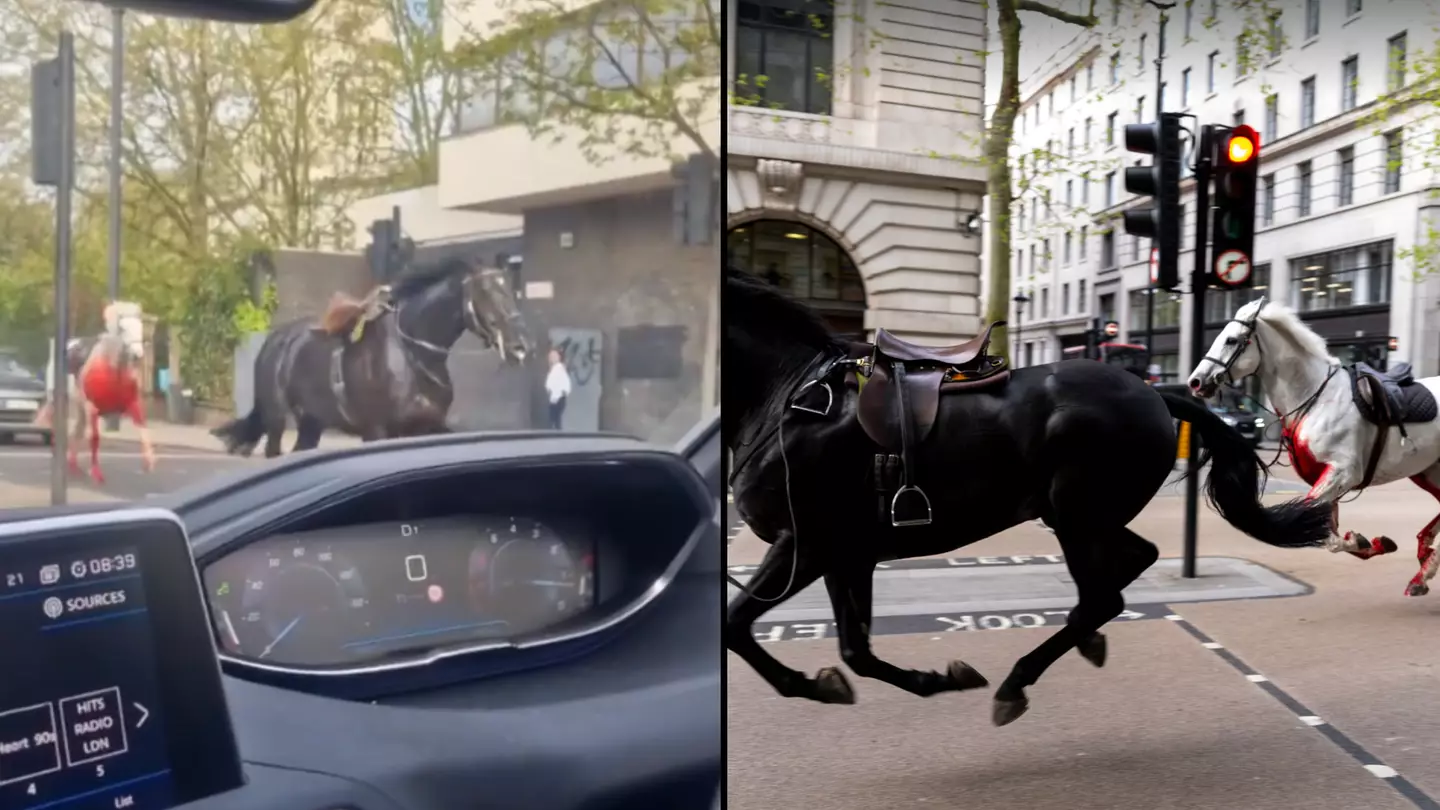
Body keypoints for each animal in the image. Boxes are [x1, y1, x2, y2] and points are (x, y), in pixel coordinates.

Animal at [36, 301, 154, 478]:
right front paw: (95, 473)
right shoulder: (92, 408)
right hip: (60, 401)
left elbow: (143, 428)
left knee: (78, 429)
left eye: (139, 326)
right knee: (59, 426)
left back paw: (73, 465)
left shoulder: (132, 404)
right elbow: (94, 438)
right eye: (122, 328)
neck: (112, 369)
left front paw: (149, 461)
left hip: (79, 406)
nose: (137, 355)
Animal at [210, 255, 532, 458]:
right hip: (277, 418)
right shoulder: (377, 429)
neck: (413, 357)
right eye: (485, 292)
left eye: (510, 289)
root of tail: (277, 340)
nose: (520, 346)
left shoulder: (426, 425)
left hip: (311, 422)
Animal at [725, 266, 1330, 726]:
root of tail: (1155, 393)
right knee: (1129, 567)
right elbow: (856, 649)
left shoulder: (804, 544)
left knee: (1102, 597)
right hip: (1083, 515)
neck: (792, 397)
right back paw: (1082, 640)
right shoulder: (844, 553)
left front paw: (813, 683)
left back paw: (1019, 681)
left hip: (1076, 514)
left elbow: (736, 626)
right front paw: (925, 679)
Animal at [1186, 296, 1440, 593]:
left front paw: (1362, 541)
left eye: (1232, 340)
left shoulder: (1343, 472)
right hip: (1429, 472)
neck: (1316, 398)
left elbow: (1325, 532)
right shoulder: (1327, 479)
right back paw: (1423, 569)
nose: (1195, 381)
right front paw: (1369, 543)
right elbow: (1327, 531)